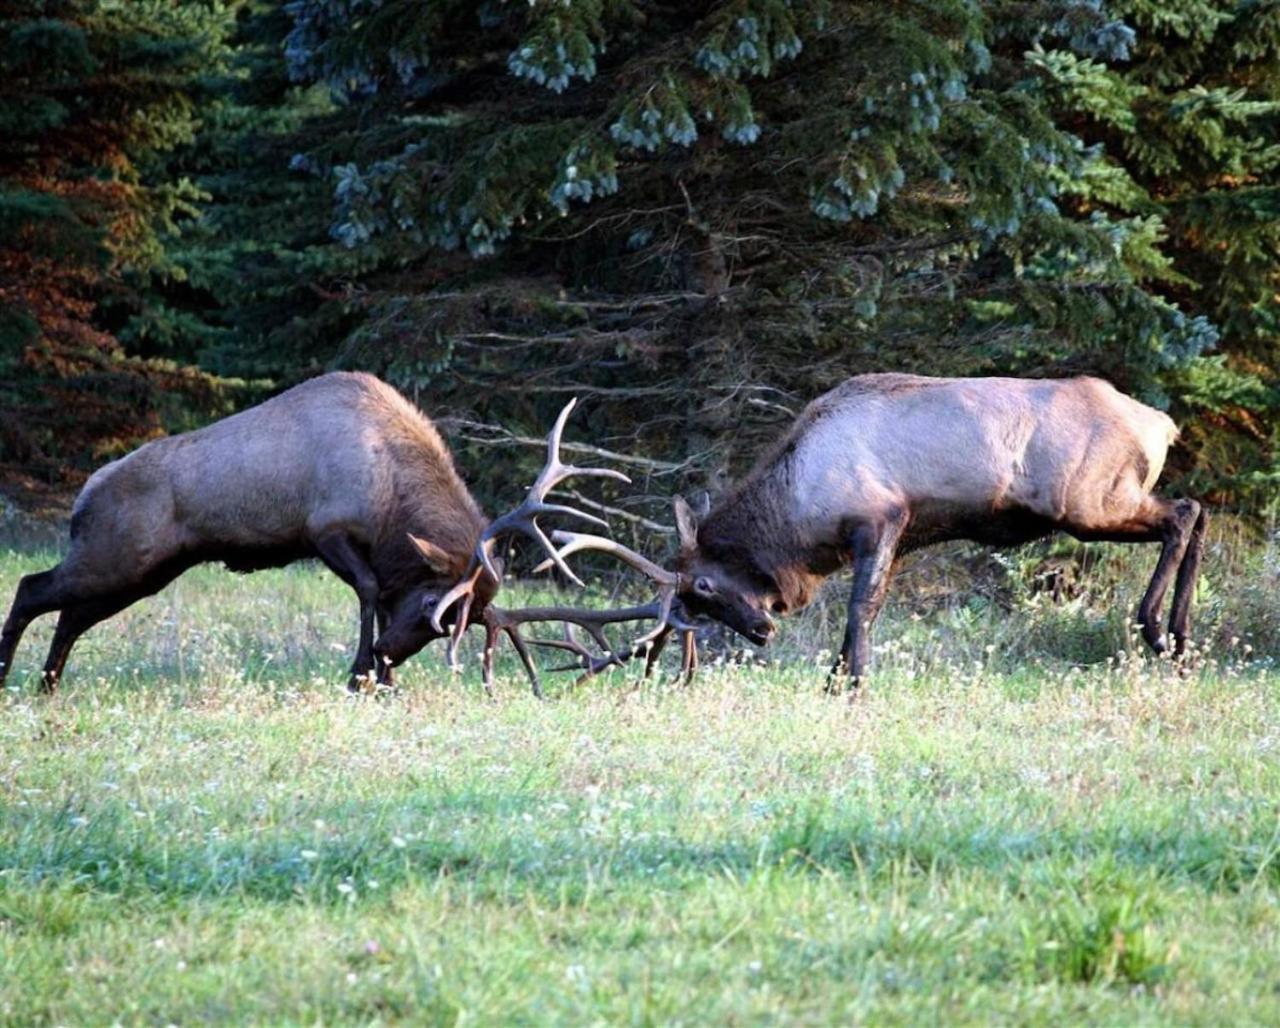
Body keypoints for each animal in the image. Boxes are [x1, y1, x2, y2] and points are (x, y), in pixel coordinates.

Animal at [0, 373, 629, 696]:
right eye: (436, 604)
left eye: (465, 618)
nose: (389, 651)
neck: (390, 499)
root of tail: (84, 495)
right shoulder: (327, 529)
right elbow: (371, 591)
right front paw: (361, 674)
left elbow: (376, 594)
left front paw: (380, 678)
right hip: (117, 554)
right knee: (33, 587)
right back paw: (12, 677)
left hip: (143, 569)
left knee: (70, 614)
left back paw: (48, 684)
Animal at [537, 371, 1208, 691]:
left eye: (702, 587)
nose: (762, 629)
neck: (799, 512)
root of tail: (1162, 423)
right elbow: (869, 609)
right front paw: (837, 681)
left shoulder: (882, 516)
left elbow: (862, 606)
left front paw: (850, 684)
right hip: (1101, 503)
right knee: (1196, 509)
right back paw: (1182, 641)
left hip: (1088, 502)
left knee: (1182, 513)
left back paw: (1155, 628)